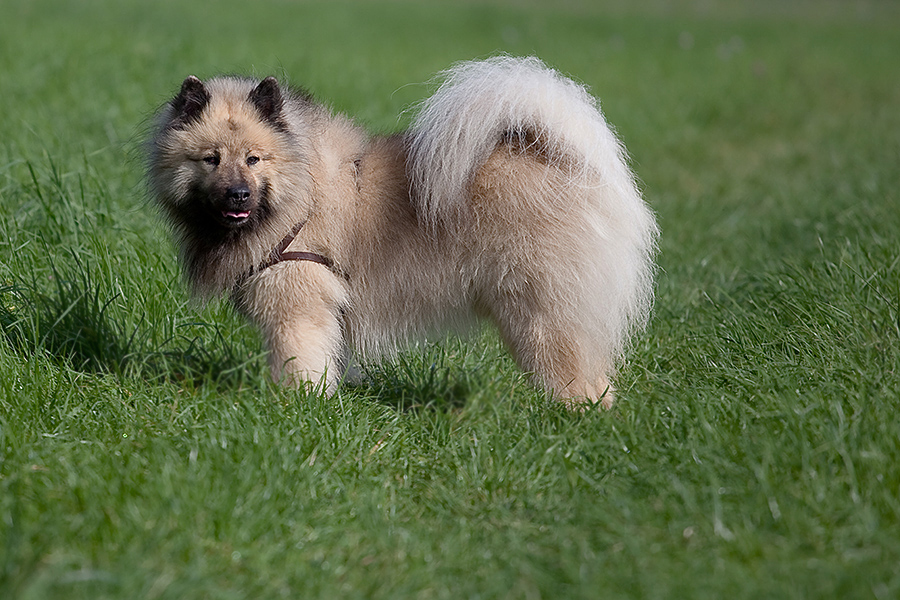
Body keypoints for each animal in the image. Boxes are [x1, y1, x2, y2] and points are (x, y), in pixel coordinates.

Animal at [146, 56, 652, 410]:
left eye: (254, 159)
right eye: (210, 159)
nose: (237, 195)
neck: (299, 196)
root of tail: (570, 163)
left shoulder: (297, 305)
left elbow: (298, 362)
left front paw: (294, 407)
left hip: (540, 313)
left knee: (584, 379)